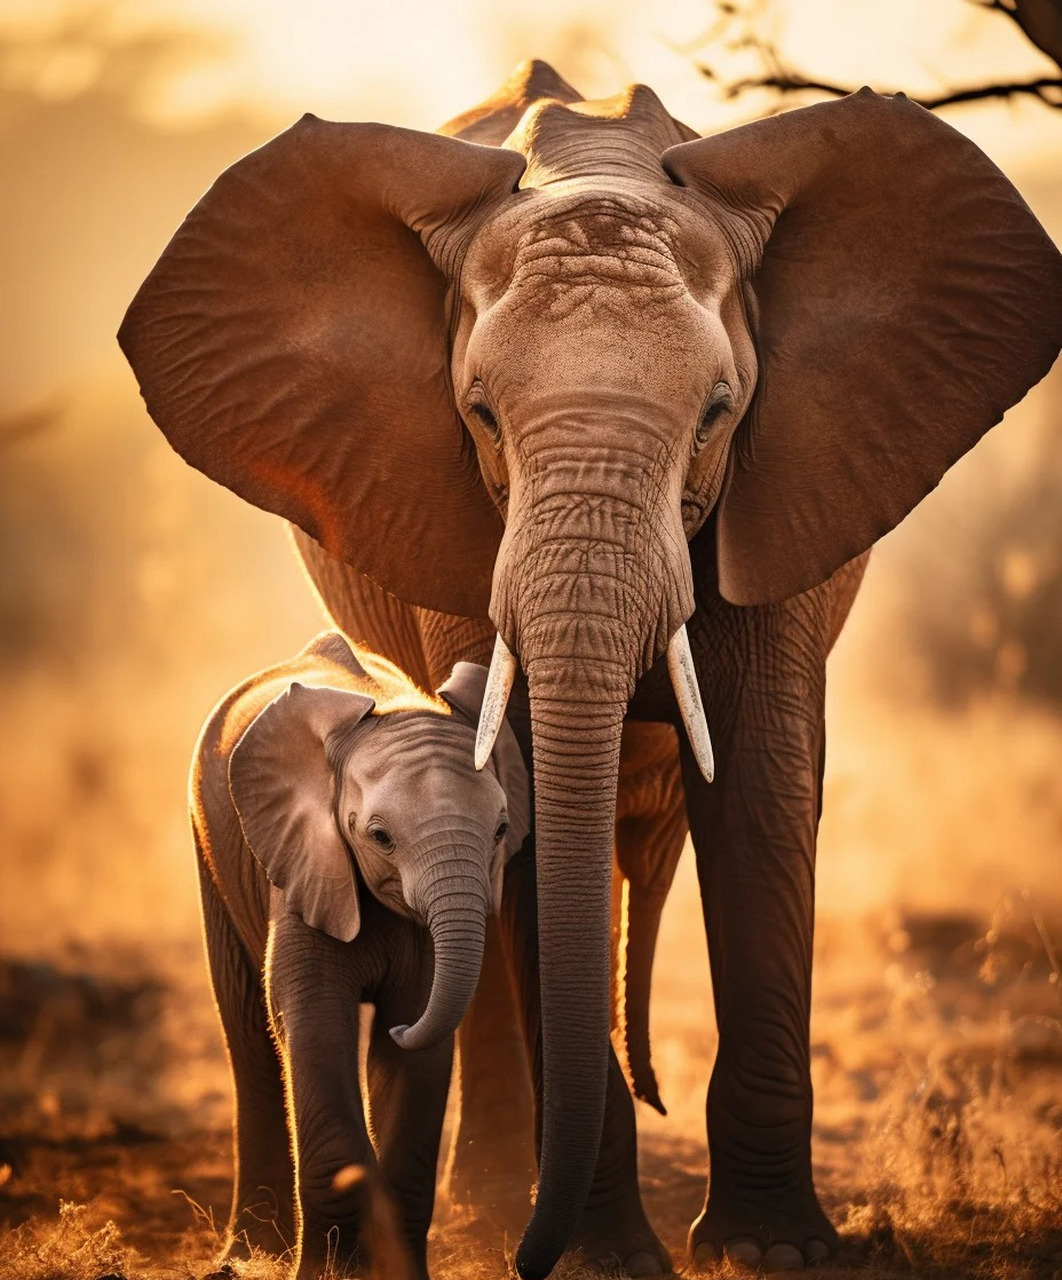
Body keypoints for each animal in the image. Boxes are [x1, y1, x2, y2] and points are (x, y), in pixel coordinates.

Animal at [190, 630, 529, 1278]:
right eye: (380, 838)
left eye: (501, 830)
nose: (396, 1028)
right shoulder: (304, 863)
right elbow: (316, 1021)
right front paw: (334, 1266)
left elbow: (417, 1049)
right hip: (210, 850)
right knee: (249, 1040)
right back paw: (247, 1254)